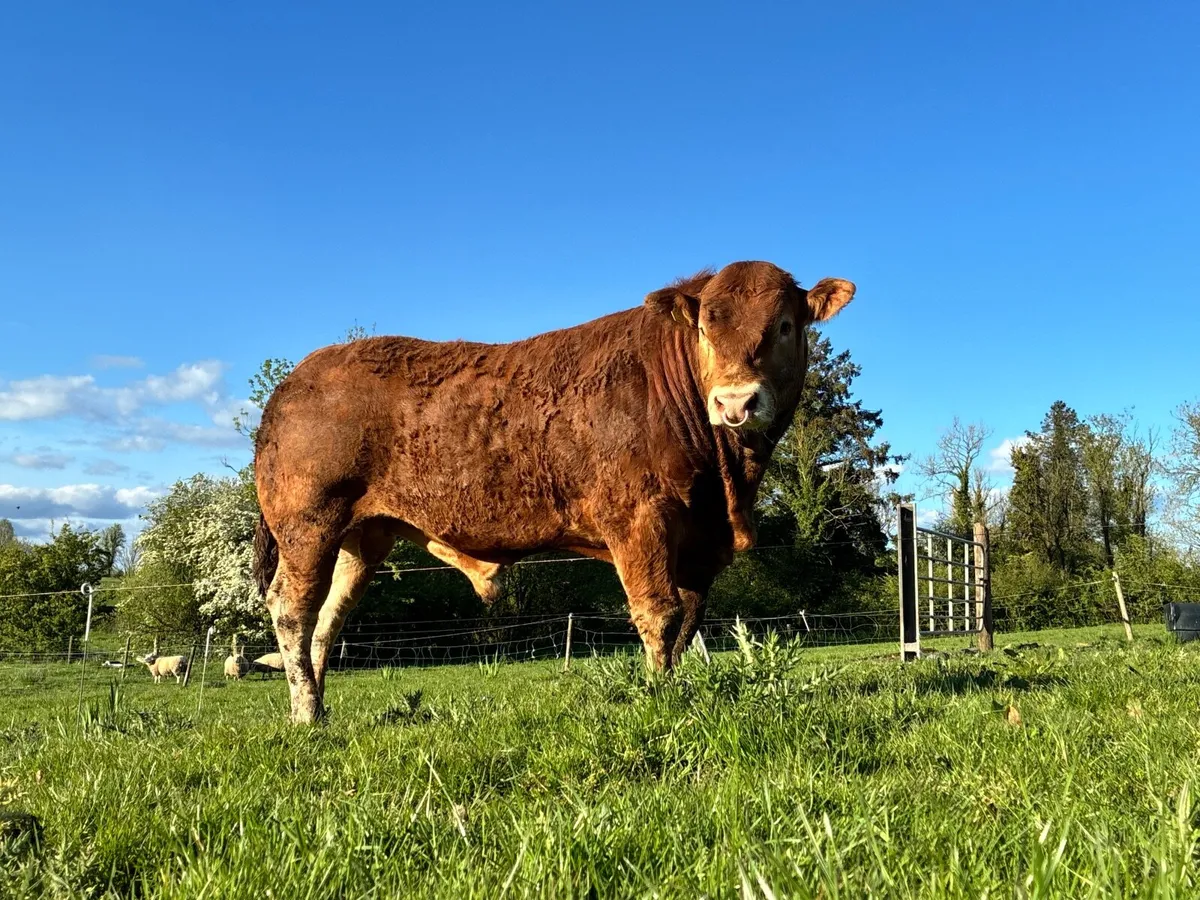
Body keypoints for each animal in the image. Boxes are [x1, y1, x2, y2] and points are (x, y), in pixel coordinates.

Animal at [253, 261, 855, 723]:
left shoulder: (698, 545)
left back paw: (320, 707)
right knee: (292, 608)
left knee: (329, 617)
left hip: (363, 535)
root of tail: (299, 376)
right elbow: (658, 614)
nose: (735, 402)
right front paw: (659, 698)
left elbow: (687, 620)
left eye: (784, 325)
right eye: (706, 328)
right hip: (309, 522)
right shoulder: (639, 518)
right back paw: (305, 712)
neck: (727, 484)